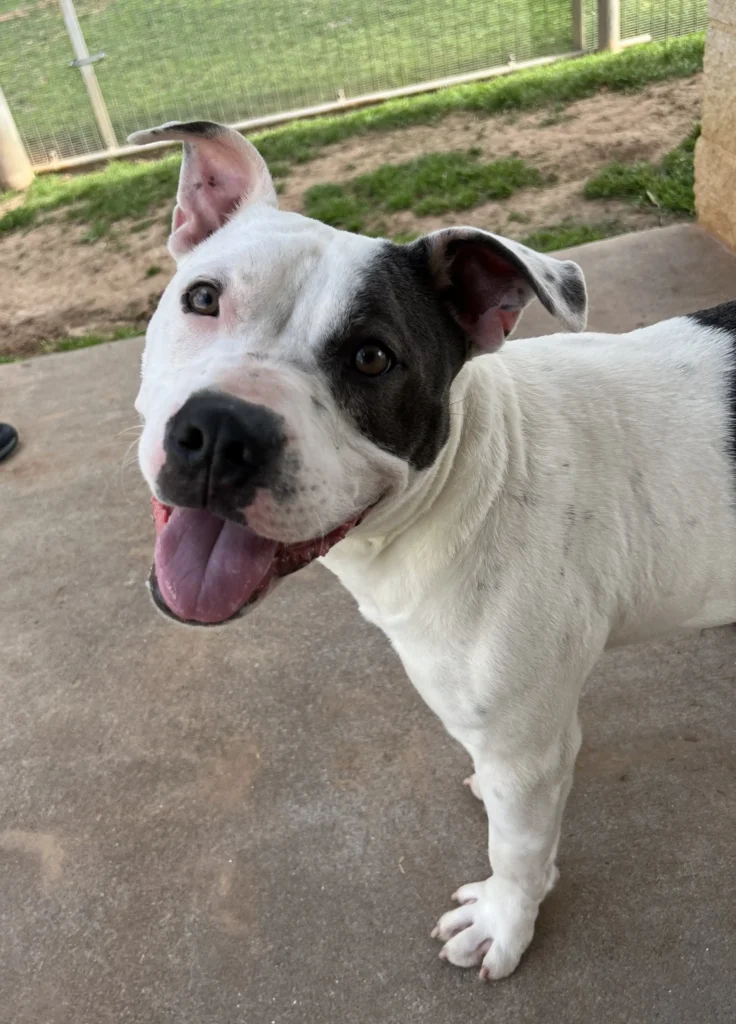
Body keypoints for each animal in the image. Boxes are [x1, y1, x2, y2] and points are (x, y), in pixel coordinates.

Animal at [127, 121, 736, 983]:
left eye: (372, 358)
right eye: (203, 298)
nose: (220, 431)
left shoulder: (530, 747)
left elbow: (519, 850)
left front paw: (504, 922)